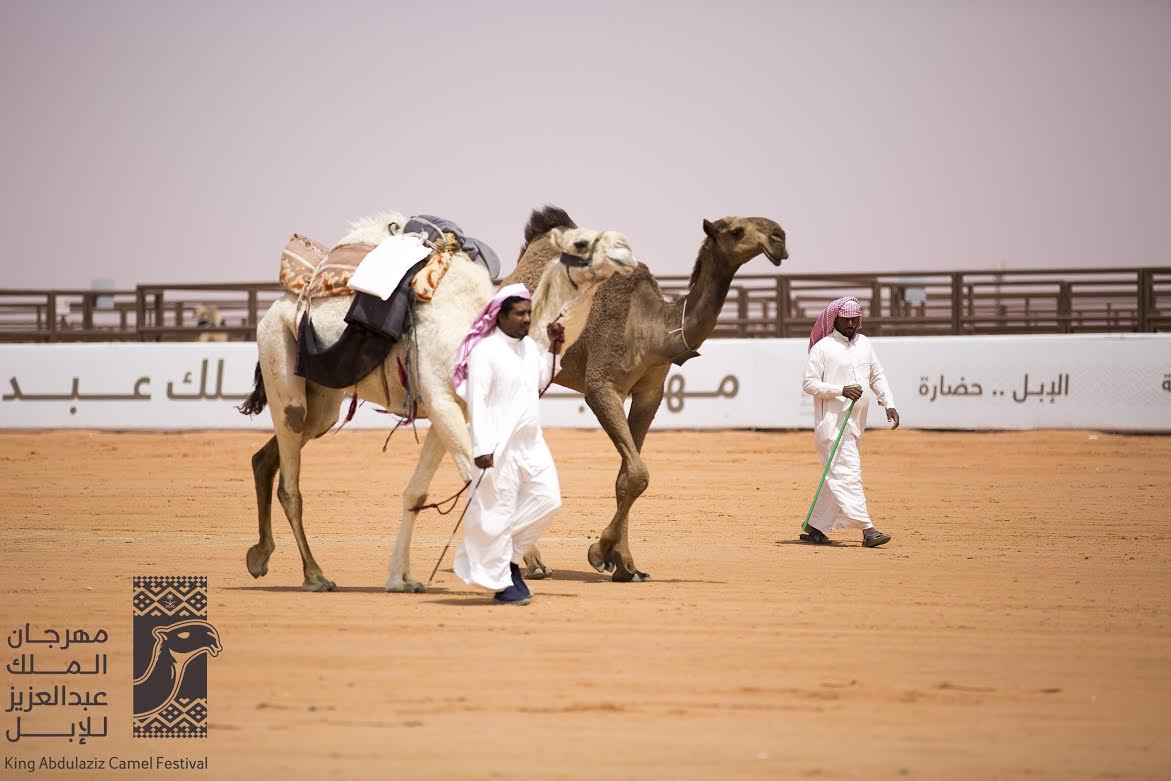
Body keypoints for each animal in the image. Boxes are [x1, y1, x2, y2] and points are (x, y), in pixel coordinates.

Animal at [241, 207, 637, 592]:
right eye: (581, 242)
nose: (627, 250)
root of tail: (281, 300)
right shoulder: (442, 402)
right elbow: (482, 483)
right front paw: (511, 572)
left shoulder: (444, 410)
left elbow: (416, 492)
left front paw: (401, 578)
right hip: (278, 353)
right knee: (290, 479)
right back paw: (314, 575)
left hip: (324, 400)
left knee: (271, 453)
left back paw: (259, 556)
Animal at [503, 210, 786, 583]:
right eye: (737, 230)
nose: (780, 237)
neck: (653, 329)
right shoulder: (601, 386)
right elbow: (638, 473)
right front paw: (599, 553)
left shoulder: (650, 393)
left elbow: (627, 477)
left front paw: (627, 565)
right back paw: (531, 562)